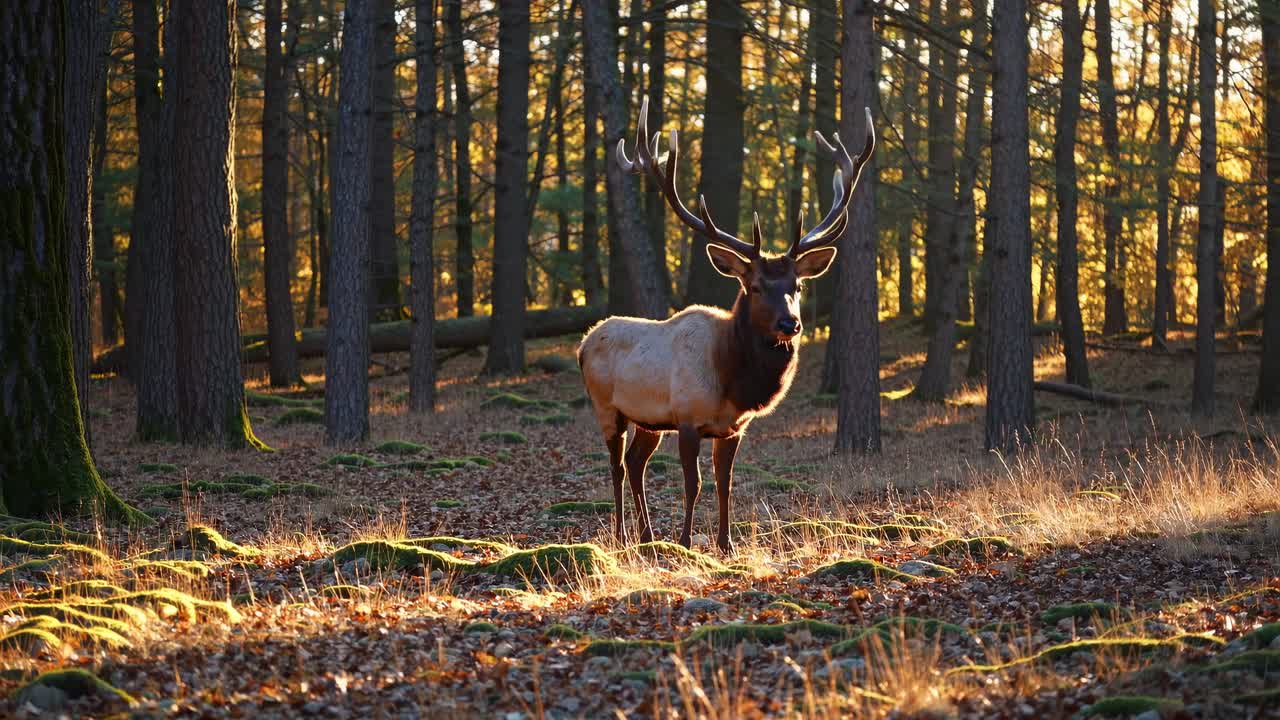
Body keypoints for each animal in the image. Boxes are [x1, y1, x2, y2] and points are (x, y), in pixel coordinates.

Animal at [576, 97, 875, 554]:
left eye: (798, 285)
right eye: (755, 286)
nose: (790, 323)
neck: (731, 379)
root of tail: (582, 343)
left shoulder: (732, 428)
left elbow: (725, 484)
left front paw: (725, 544)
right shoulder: (686, 417)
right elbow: (693, 483)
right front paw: (685, 542)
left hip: (647, 419)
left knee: (635, 462)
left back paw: (647, 536)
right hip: (607, 406)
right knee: (616, 465)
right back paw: (624, 534)